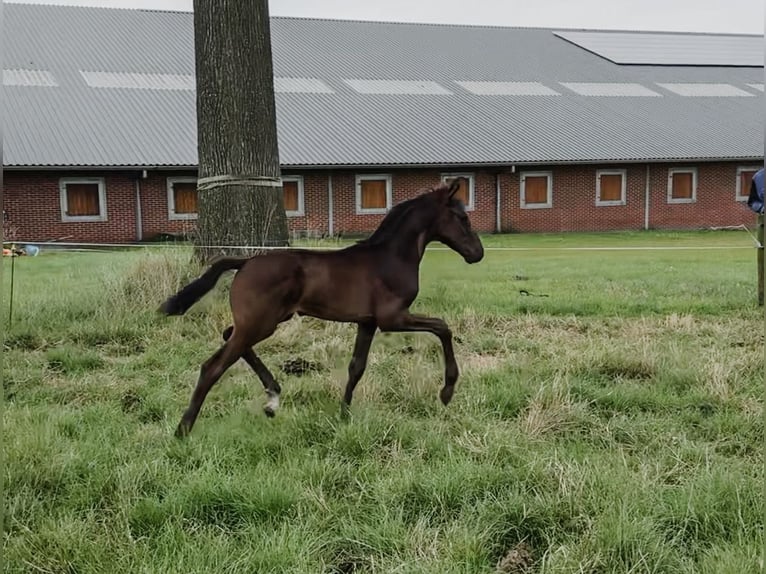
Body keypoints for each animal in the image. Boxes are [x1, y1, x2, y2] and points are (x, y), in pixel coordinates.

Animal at [161, 179, 486, 436]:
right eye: (462, 217)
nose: (478, 254)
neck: (391, 257)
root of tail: (245, 262)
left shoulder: (368, 322)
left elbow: (357, 367)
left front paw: (343, 415)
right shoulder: (392, 318)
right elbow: (443, 327)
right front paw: (446, 392)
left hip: (262, 321)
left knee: (229, 334)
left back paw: (272, 397)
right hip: (260, 323)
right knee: (212, 366)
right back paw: (183, 429)